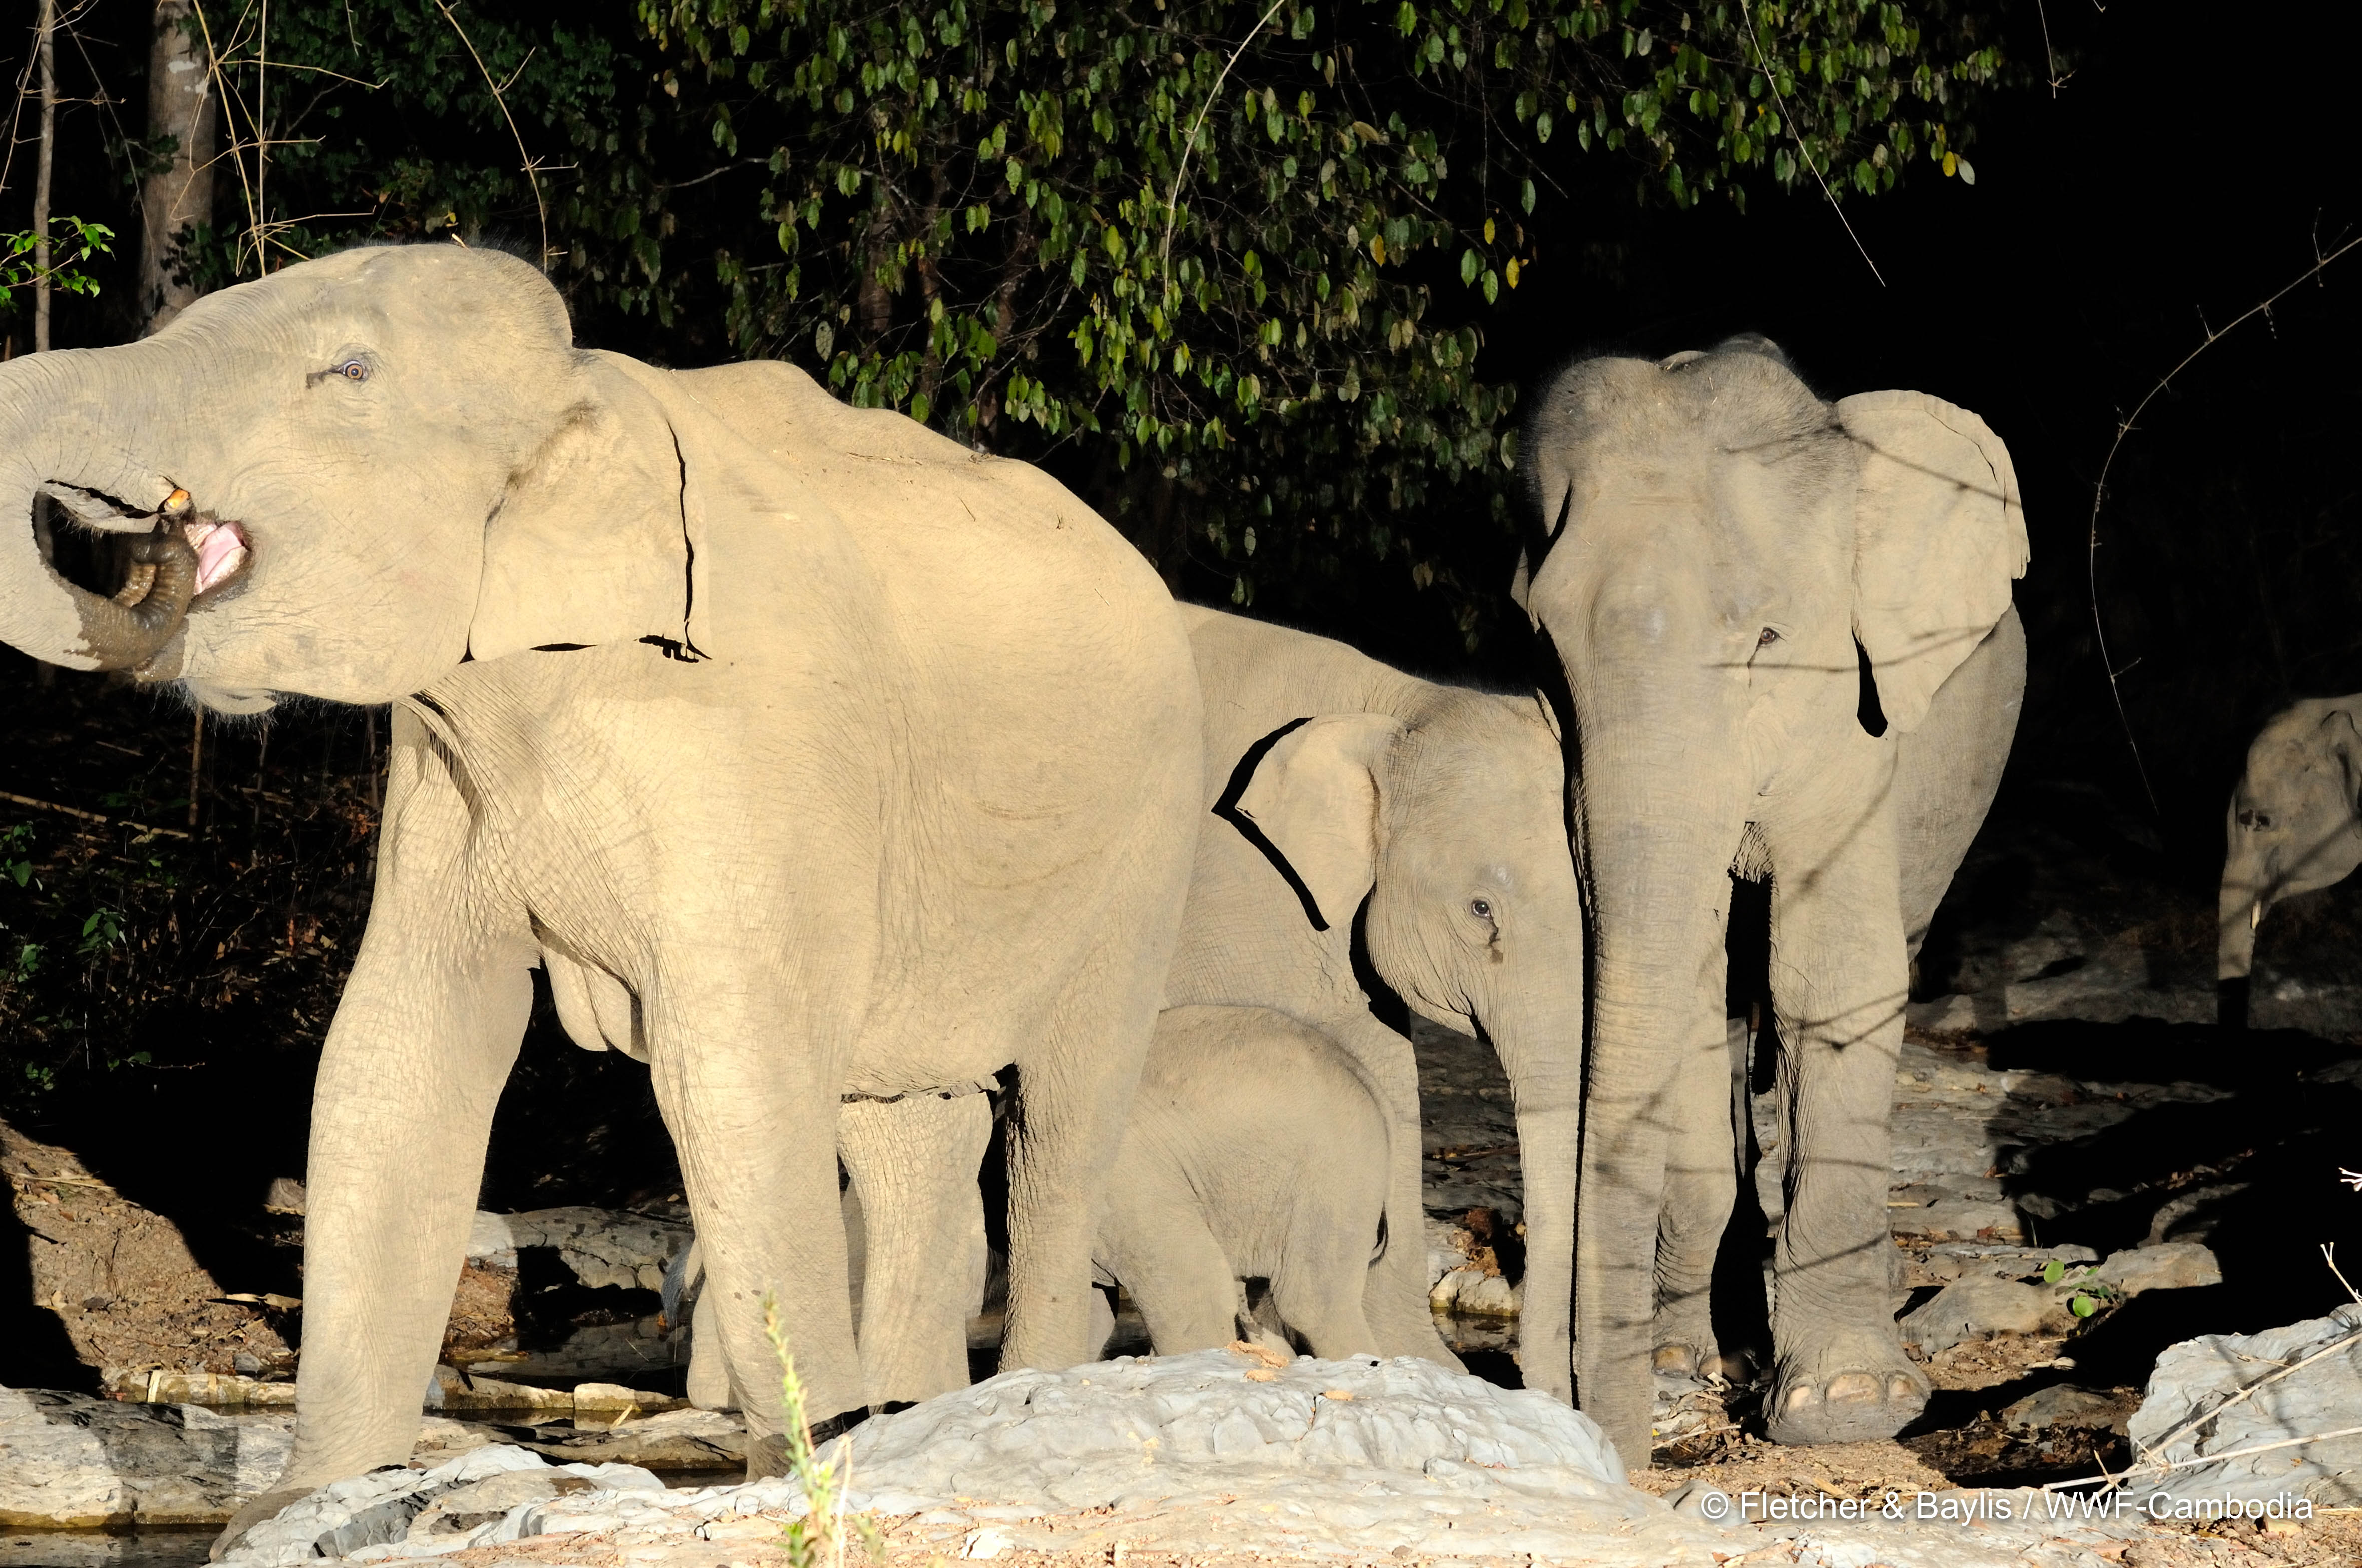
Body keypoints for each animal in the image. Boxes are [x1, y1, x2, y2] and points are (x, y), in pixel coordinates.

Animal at [0, 245, 1204, 1540]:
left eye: (350, 370)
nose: (153, 532)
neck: (583, 395)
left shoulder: (753, 743)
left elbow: (726, 1074)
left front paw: (805, 1475)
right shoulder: (445, 766)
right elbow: (397, 1050)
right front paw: (302, 1509)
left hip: (1146, 842)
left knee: (1060, 1124)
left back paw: (1018, 1399)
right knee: (910, 1126)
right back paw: (918, 1418)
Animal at [1515, 338, 2026, 1462]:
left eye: (1764, 638)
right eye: (1543, 647)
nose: (1608, 1436)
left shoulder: (1855, 715)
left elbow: (1828, 973)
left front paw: (1846, 1405)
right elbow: (1687, 984)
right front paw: (1689, 1357)